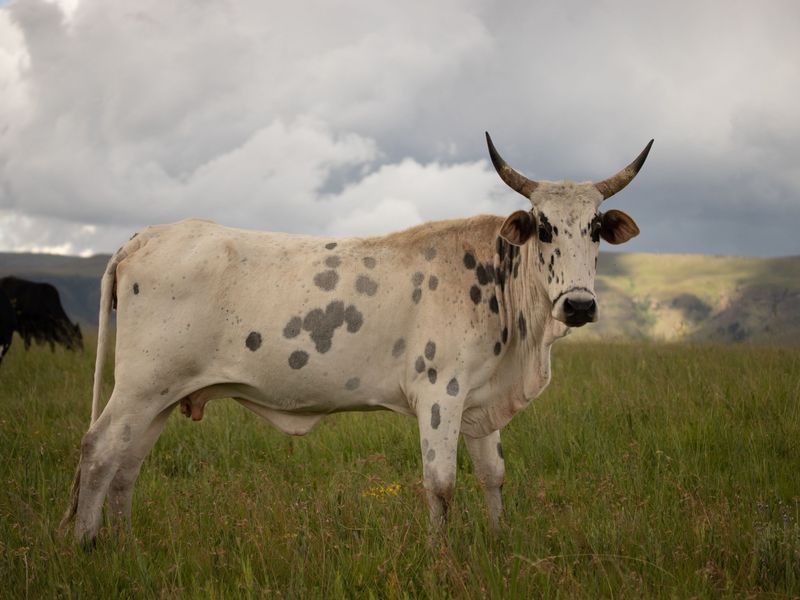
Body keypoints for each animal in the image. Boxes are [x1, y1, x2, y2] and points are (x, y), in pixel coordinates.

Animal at [62, 133, 653, 545]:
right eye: (545, 227)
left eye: (596, 228)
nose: (579, 305)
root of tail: (147, 235)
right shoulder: (440, 394)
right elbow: (440, 483)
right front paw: (441, 558)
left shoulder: (480, 403)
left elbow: (493, 476)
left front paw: (498, 542)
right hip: (140, 386)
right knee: (99, 451)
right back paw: (88, 545)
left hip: (161, 396)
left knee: (127, 465)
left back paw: (125, 544)